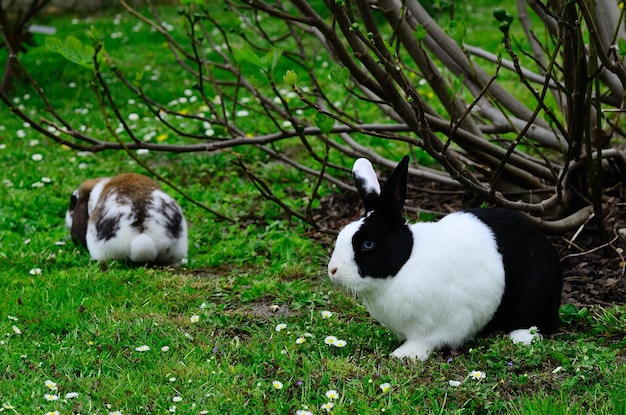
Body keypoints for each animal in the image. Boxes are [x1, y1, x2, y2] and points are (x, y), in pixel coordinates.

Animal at [326, 156, 560, 360]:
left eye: (368, 244)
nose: (333, 270)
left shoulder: (445, 324)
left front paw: (404, 355)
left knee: (537, 324)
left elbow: (425, 341)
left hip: (534, 297)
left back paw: (520, 337)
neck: (404, 265)